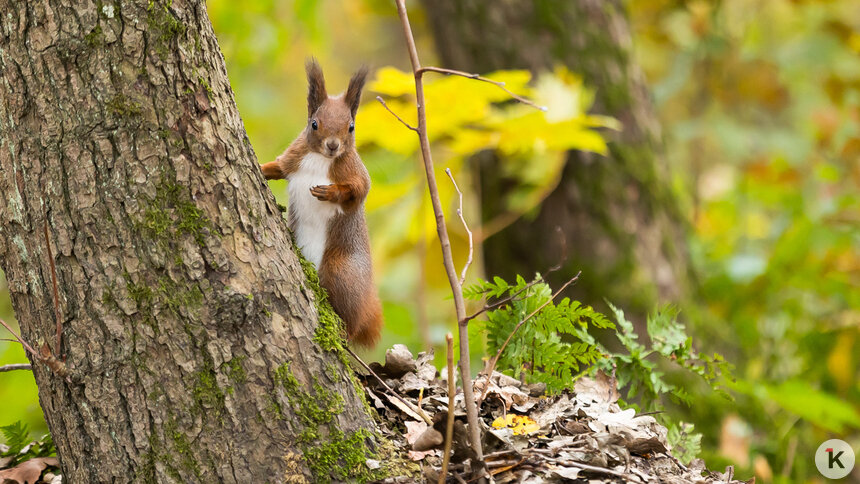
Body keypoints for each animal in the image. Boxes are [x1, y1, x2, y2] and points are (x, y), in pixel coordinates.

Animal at [260, 59, 384, 348]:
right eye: (314, 124)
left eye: (351, 127)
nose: (333, 145)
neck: (320, 158)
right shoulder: (294, 158)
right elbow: (277, 167)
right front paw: (261, 168)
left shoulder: (356, 174)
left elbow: (358, 191)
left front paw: (331, 193)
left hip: (341, 271)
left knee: (351, 324)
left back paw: (344, 332)